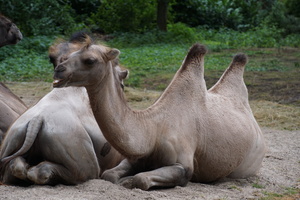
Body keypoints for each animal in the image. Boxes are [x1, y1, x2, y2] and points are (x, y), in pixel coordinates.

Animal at [52, 39, 266, 191]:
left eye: (90, 60)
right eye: (70, 54)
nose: (58, 70)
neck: (153, 130)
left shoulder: (183, 165)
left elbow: (140, 179)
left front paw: (128, 181)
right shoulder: (135, 158)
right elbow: (109, 175)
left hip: (249, 163)